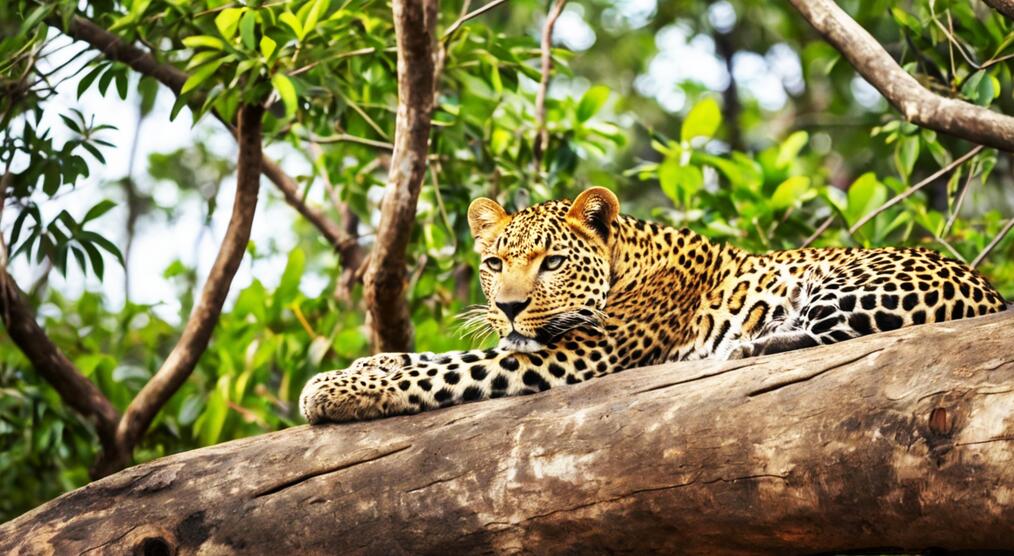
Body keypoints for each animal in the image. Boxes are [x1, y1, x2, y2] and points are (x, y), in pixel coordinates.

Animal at [298, 185, 1005, 422]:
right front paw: (360, 368)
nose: (510, 306)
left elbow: (446, 368)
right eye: (495, 263)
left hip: (849, 282)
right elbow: (421, 357)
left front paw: (332, 389)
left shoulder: (574, 355)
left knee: (830, 338)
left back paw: (748, 344)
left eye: (552, 263)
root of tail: (994, 291)